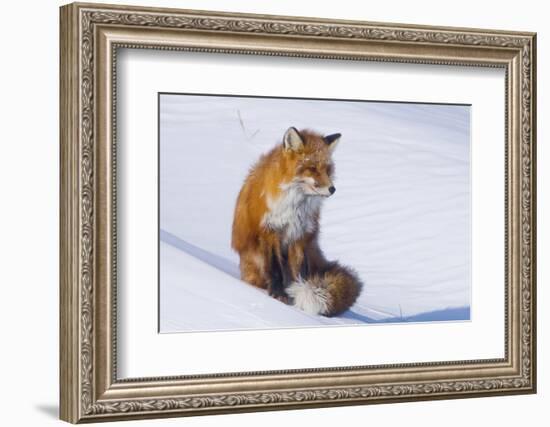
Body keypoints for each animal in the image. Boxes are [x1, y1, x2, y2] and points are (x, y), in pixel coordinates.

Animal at [232, 127, 364, 318]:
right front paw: (278, 294)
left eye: (328, 169)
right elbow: (275, 268)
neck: (294, 207)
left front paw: (298, 294)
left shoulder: (300, 234)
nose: (332, 189)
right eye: (312, 168)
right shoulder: (270, 230)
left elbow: (300, 273)